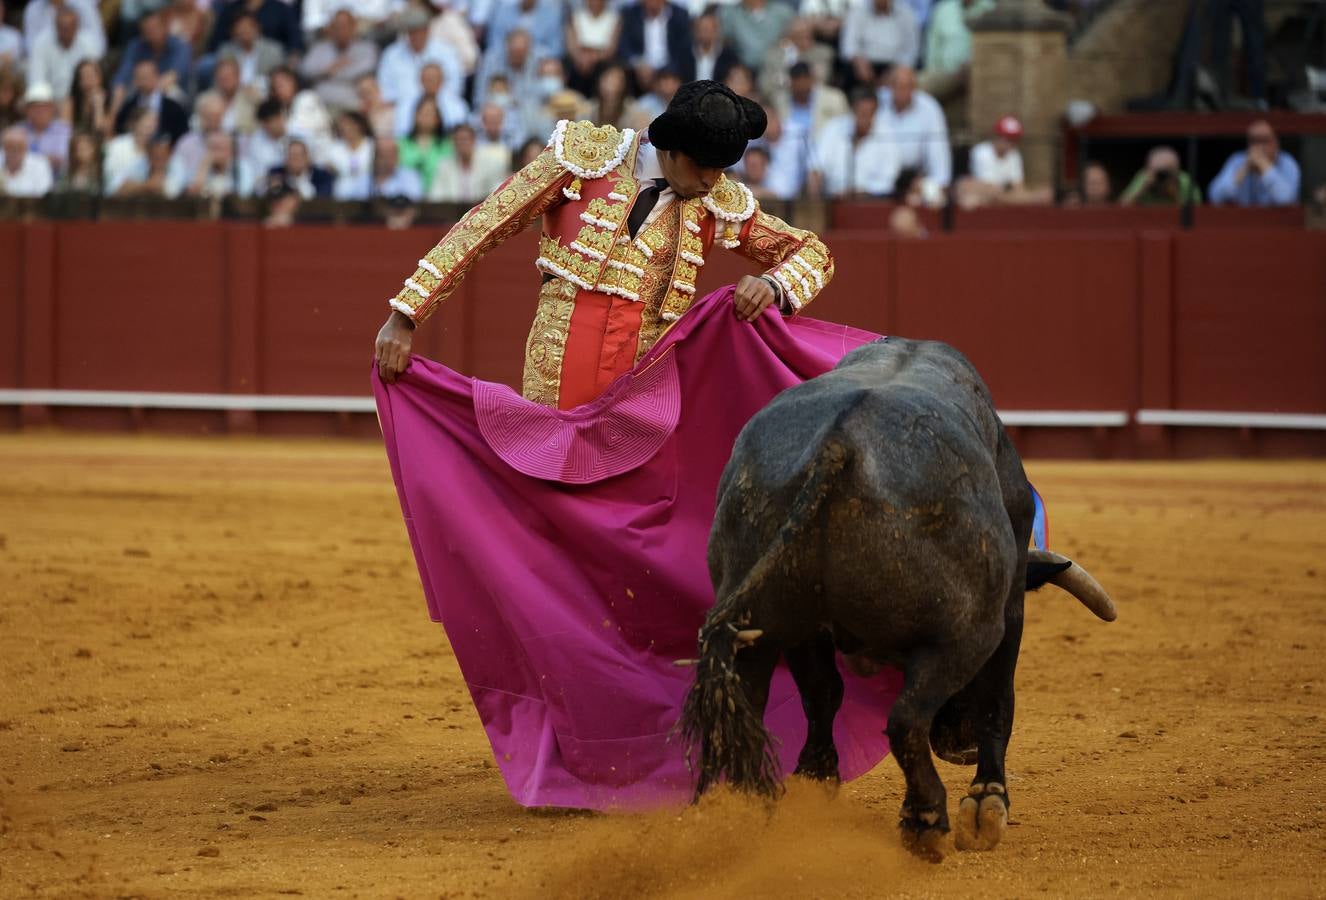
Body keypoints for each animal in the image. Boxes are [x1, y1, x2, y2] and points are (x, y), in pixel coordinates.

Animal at [678, 336, 1113, 858]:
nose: (959, 745)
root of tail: (839, 443)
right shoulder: (1008, 604)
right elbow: (997, 698)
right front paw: (986, 803)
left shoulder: (809, 631)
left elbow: (823, 692)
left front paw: (815, 779)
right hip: (966, 631)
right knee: (907, 719)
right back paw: (925, 819)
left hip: (765, 615)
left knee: (751, 698)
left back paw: (734, 812)